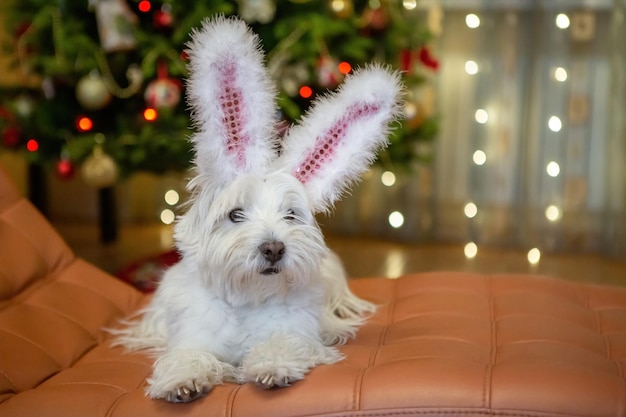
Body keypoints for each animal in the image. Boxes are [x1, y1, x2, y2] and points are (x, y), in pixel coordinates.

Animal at [112, 17, 402, 404]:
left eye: (291, 215)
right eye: (235, 214)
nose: (274, 248)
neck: (248, 298)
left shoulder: (298, 331)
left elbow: (283, 342)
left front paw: (271, 366)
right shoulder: (193, 335)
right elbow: (188, 354)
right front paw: (183, 380)